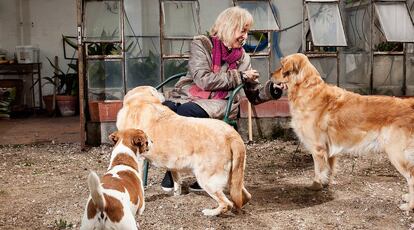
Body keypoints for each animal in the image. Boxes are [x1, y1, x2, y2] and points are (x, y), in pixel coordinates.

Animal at [272, 53, 414, 211]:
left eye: (282, 66)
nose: (270, 75)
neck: (307, 89)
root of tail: (409, 104)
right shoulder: (329, 150)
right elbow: (329, 169)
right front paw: (326, 183)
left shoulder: (317, 148)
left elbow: (318, 170)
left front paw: (315, 185)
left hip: (396, 153)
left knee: (411, 177)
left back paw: (409, 205)